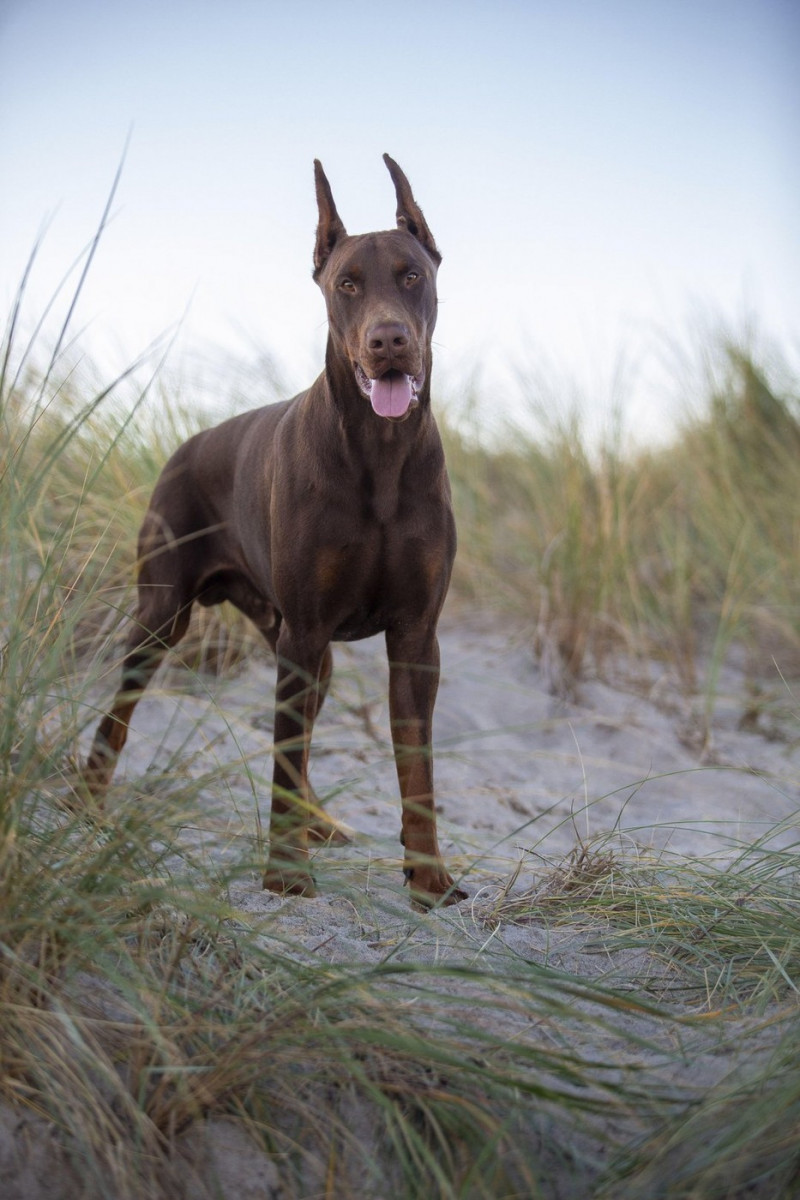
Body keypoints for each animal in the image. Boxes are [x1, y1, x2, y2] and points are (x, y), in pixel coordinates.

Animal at [84, 154, 465, 907]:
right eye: (347, 283)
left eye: (411, 274)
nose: (388, 341)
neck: (380, 455)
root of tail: (184, 446)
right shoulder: (308, 627)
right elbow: (285, 756)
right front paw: (286, 872)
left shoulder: (415, 638)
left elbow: (417, 767)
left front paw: (429, 876)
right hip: (165, 616)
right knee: (121, 712)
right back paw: (87, 798)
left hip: (296, 644)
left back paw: (321, 823)